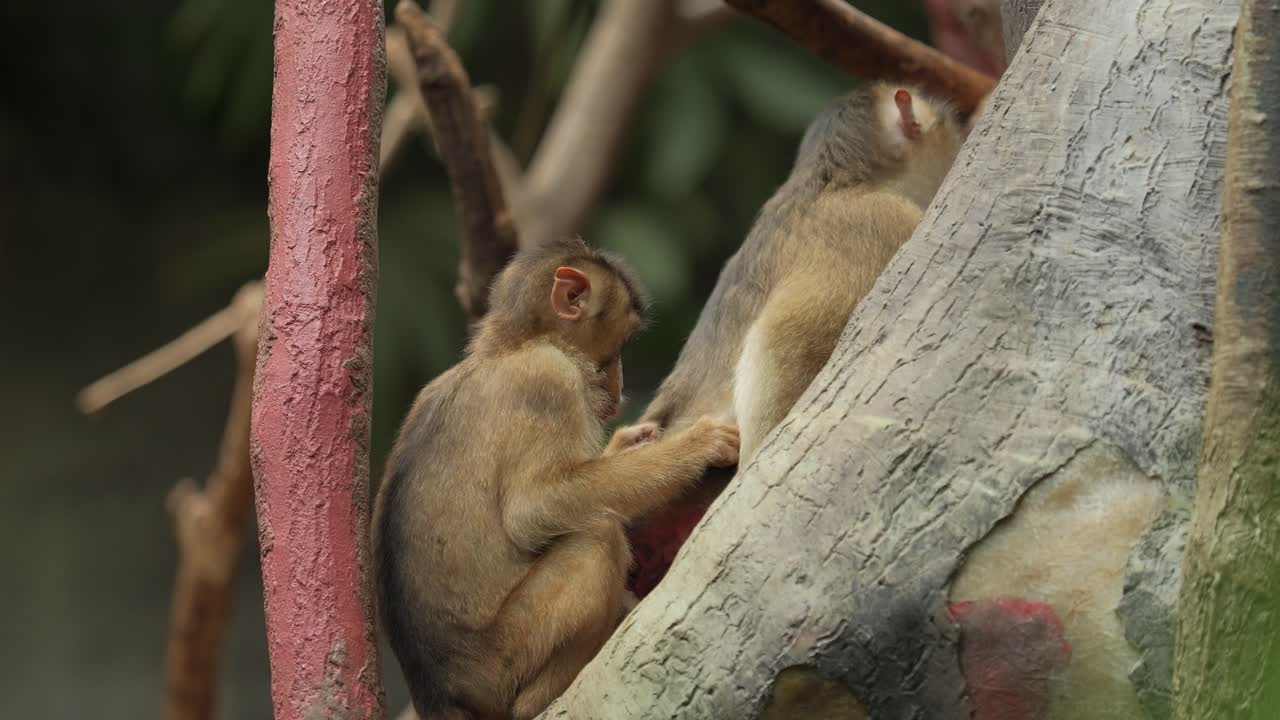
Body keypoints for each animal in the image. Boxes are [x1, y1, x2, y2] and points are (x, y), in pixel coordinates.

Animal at [372, 236, 740, 720]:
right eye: (622, 341)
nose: (621, 386)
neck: (507, 349)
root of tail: (440, 696)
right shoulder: (551, 381)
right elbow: (536, 506)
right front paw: (696, 447)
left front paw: (630, 443)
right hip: (502, 662)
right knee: (597, 538)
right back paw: (542, 700)